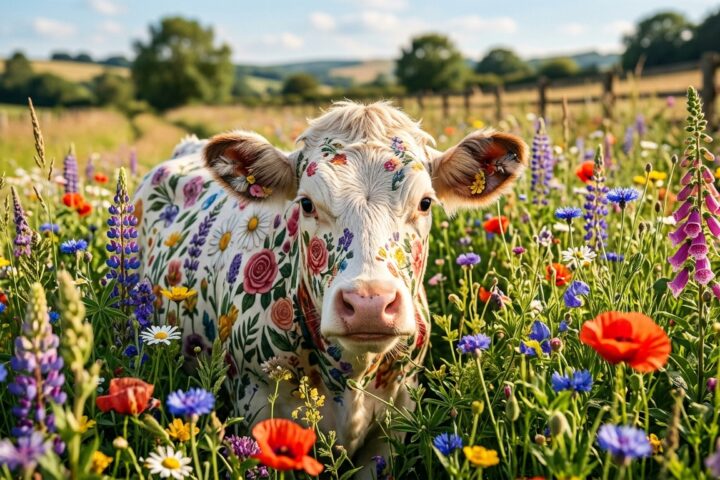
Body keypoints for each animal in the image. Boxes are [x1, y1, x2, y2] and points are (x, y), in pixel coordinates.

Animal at [134, 100, 528, 475]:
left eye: (425, 202)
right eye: (307, 204)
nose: (369, 304)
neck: (351, 375)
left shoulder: (396, 419)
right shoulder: (257, 407)